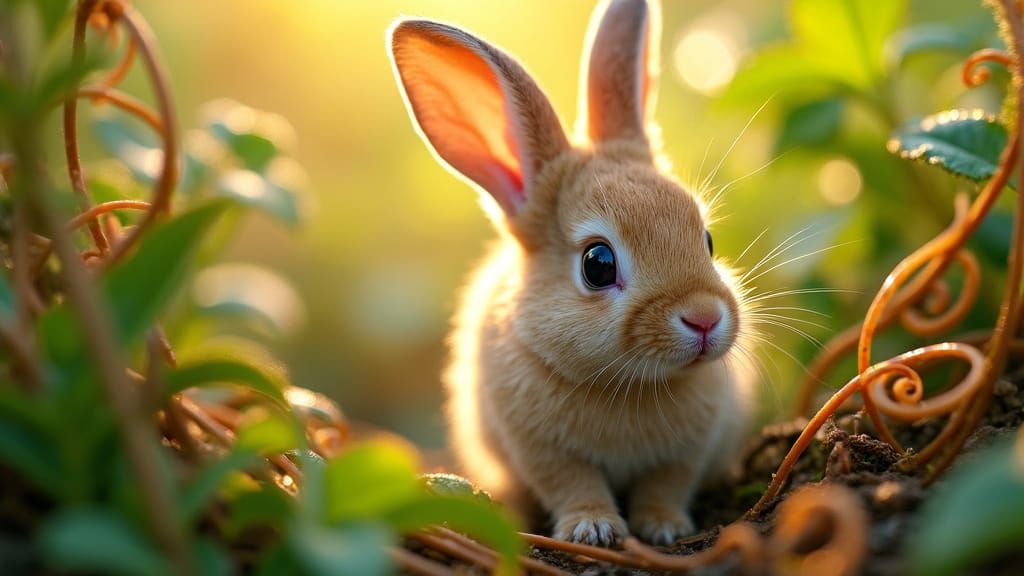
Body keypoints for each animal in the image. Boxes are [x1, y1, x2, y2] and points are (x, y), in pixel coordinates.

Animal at [387, 0, 754, 547]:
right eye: (597, 265)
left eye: (707, 241)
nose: (705, 318)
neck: (629, 384)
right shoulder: (540, 449)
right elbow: (571, 483)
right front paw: (593, 528)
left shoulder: (690, 449)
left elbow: (666, 484)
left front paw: (663, 528)